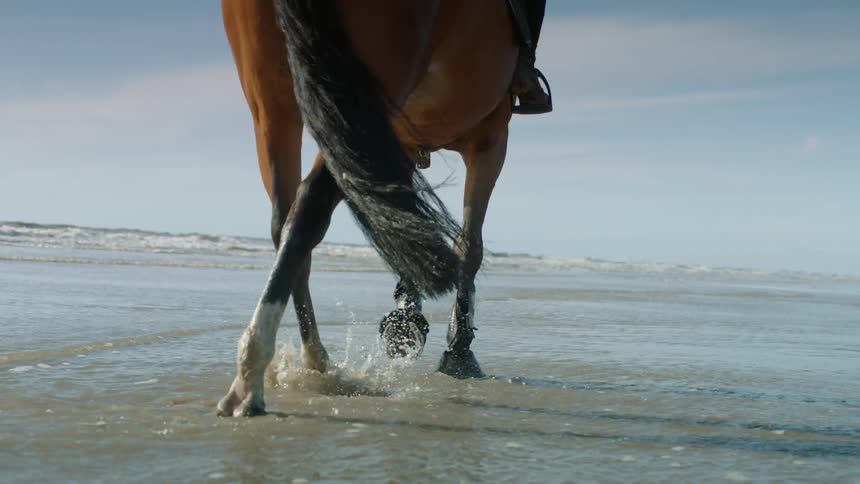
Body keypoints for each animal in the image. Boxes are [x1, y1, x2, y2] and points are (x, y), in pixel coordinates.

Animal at [218, 0, 534, 417]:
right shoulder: (492, 135)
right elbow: (469, 245)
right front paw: (458, 350)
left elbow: (407, 222)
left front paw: (406, 321)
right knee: (309, 208)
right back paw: (254, 373)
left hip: (274, 106)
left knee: (284, 219)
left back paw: (311, 360)